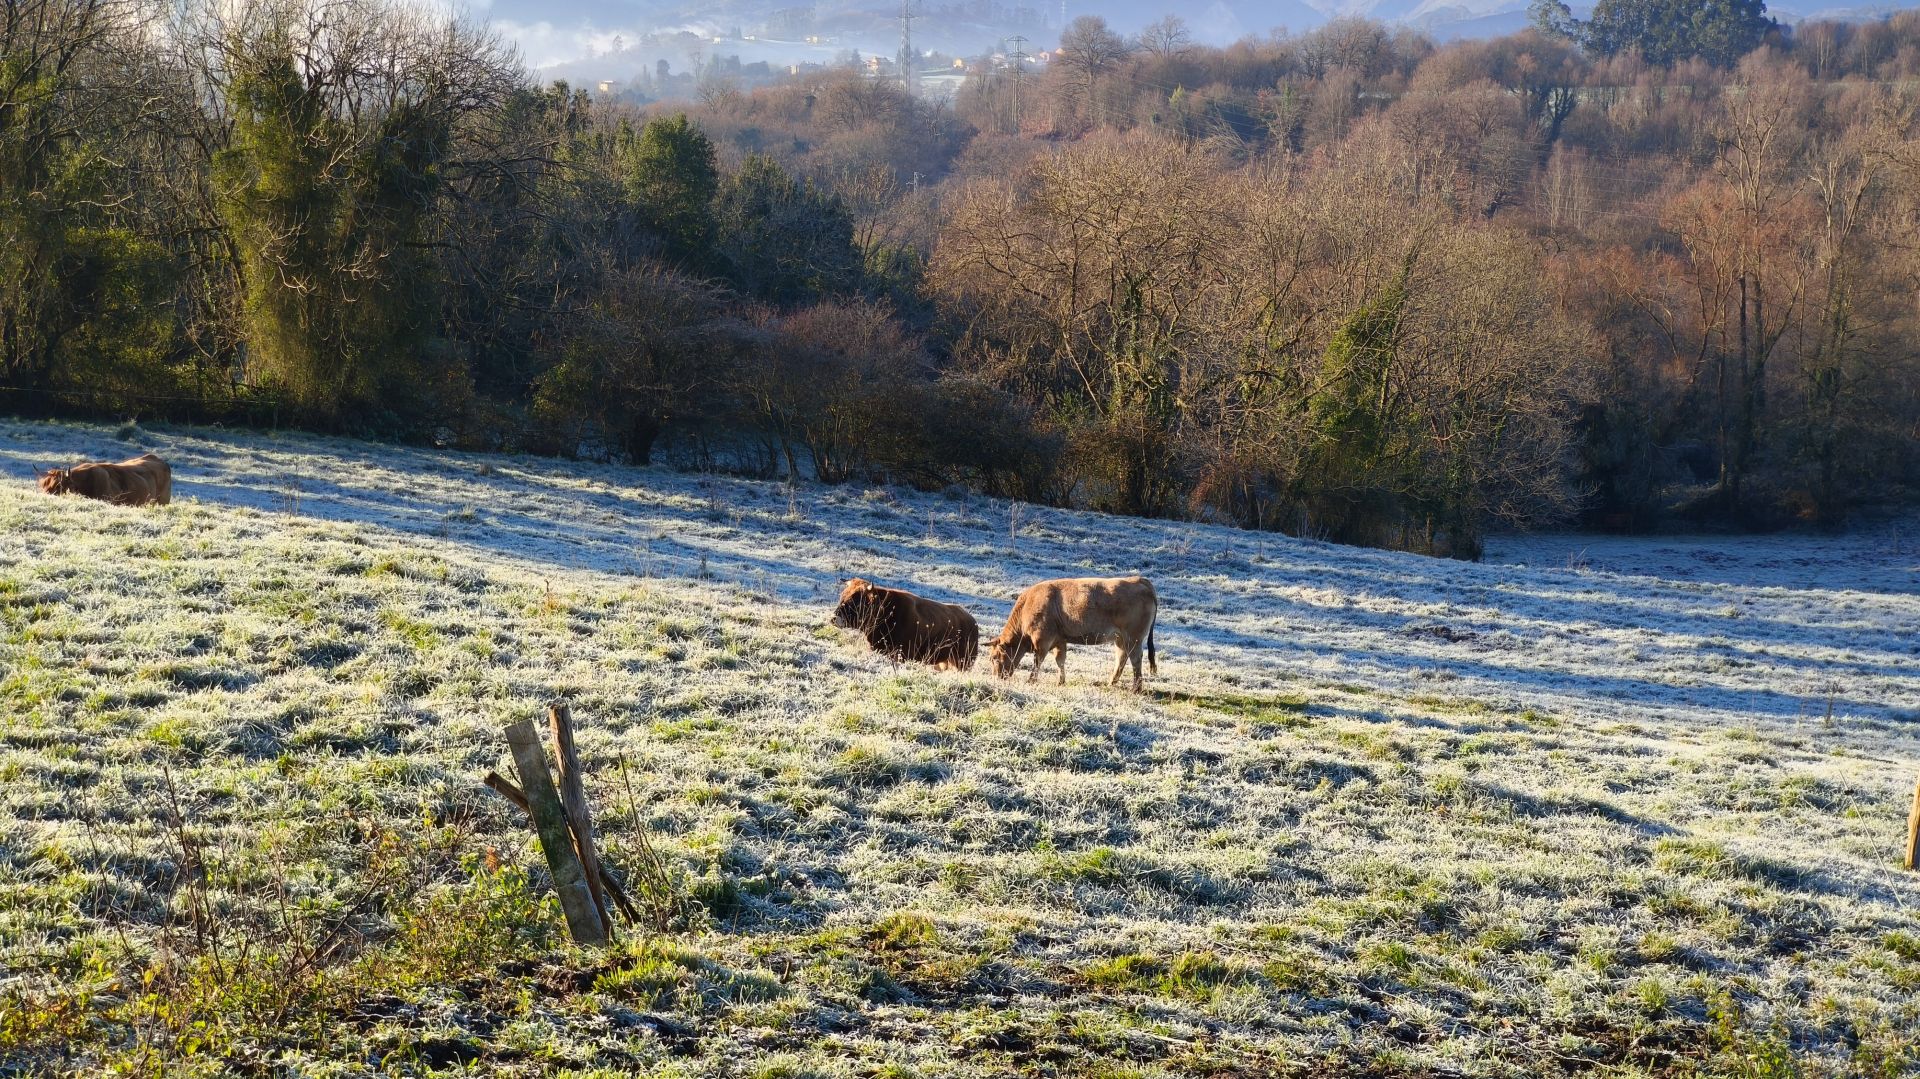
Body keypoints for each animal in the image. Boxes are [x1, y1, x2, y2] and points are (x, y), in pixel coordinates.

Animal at [990, 575, 1152, 691]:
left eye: (994, 658)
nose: (997, 678)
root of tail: (1139, 579)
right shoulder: (1059, 640)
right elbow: (1060, 661)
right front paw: (1061, 681)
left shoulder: (1042, 641)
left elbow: (1038, 661)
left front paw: (1031, 680)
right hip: (1120, 639)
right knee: (1121, 659)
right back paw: (1111, 683)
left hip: (1133, 638)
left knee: (1135, 660)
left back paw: (1136, 689)